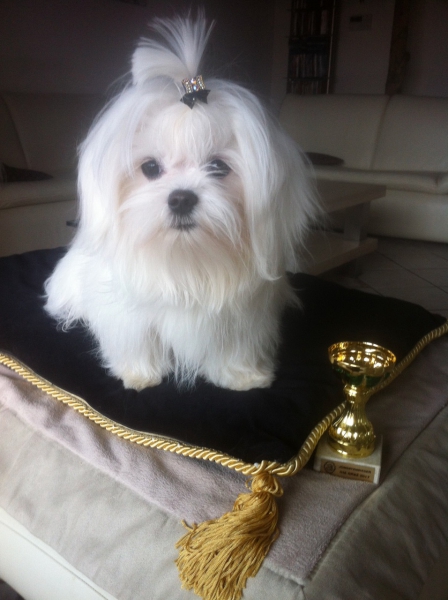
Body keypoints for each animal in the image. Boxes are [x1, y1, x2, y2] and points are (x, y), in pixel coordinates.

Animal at [45, 15, 318, 392]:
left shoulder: (244, 321)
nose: (181, 198)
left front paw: (241, 375)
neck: (186, 262)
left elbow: (235, 346)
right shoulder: (130, 316)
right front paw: (139, 372)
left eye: (218, 167)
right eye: (150, 168)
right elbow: (138, 338)